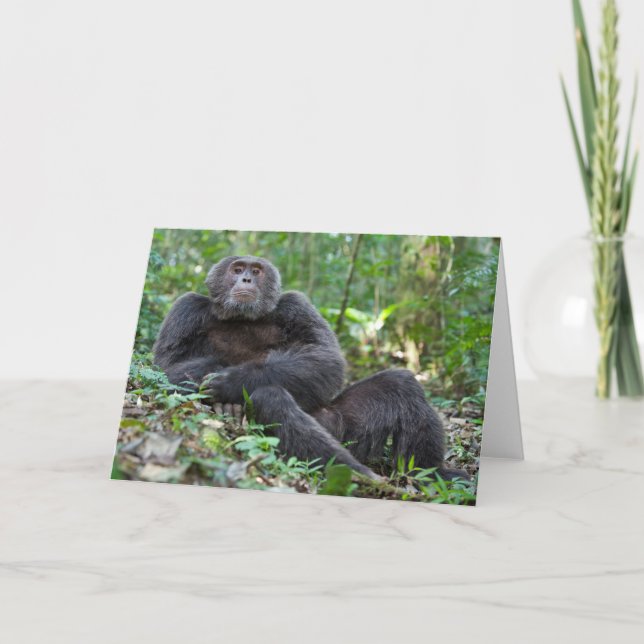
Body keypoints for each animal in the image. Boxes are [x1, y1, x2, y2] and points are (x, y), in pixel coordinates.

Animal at [153, 255, 461, 481]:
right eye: (237, 269)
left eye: (256, 270)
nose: (246, 278)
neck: (242, 318)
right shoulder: (186, 309)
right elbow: (164, 368)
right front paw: (222, 387)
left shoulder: (296, 305)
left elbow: (324, 356)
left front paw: (231, 381)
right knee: (270, 399)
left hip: (341, 427)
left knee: (399, 384)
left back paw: (430, 474)